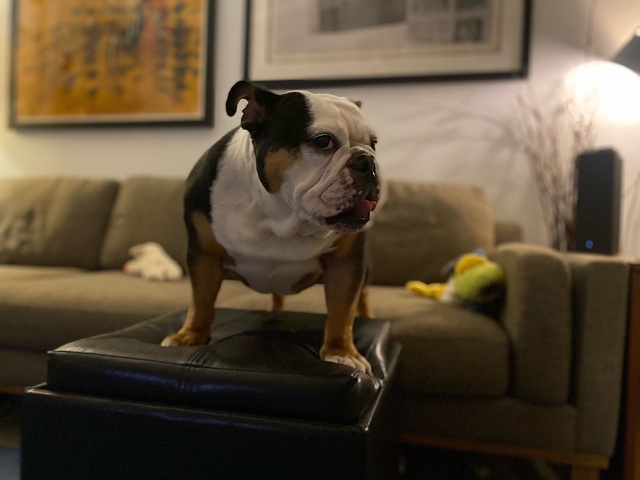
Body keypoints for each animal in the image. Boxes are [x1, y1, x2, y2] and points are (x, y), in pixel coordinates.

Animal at [161, 81, 381, 374]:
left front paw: (342, 352)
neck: (281, 214)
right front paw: (190, 336)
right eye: (323, 141)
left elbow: (342, 311)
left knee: (363, 296)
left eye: (374, 143)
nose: (368, 161)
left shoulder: (345, 264)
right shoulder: (204, 255)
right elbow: (201, 299)